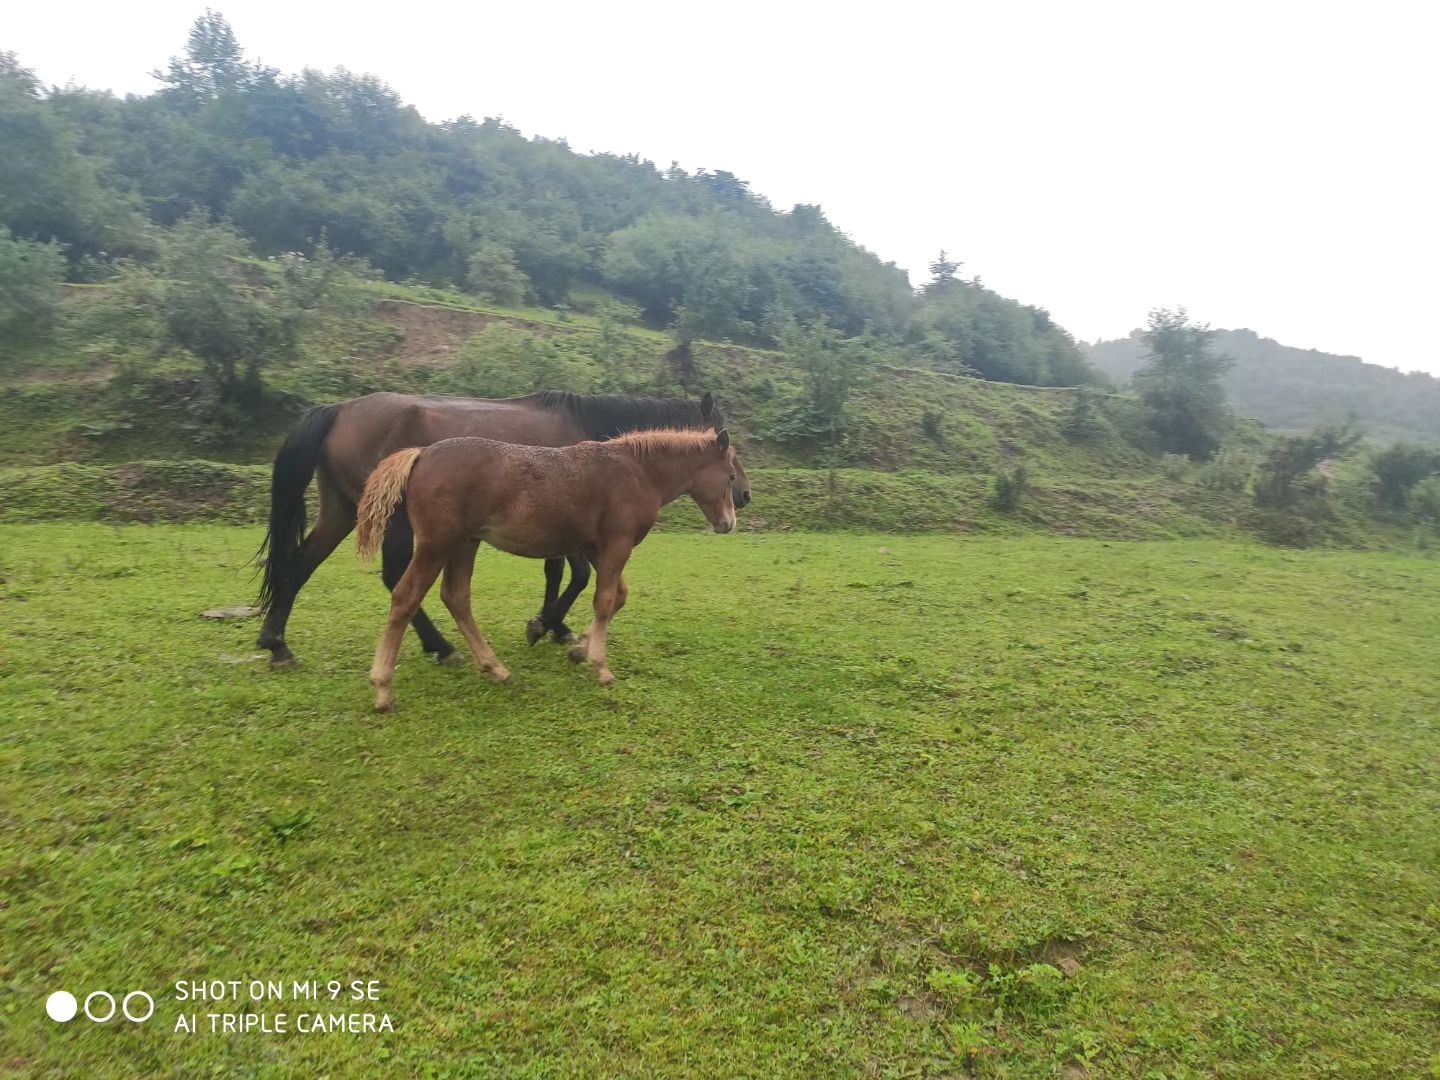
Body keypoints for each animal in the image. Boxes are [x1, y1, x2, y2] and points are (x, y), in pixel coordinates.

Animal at [255, 390, 751, 668]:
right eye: (727, 448)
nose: (744, 496)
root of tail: (338, 409)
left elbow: (566, 575)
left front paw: (557, 628)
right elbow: (574, 575)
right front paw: (548, 625)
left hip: (342, 510)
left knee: (300, 564)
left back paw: (276, 642)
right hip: (397, 522)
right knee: (396, 579)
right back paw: (440, 646)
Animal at [354, 427, 740, 711]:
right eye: (731, 476)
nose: (729, 523)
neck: (637, 472)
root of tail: (421, 453)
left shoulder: (595, 548)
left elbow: (618, 596)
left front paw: (577, 649)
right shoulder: (616, 544)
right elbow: (604, 601)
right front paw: (600, 666)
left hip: (466, 543)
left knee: (456, 596)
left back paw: (496, 668)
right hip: (438, 544)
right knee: (406, 597)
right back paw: (383, 689)